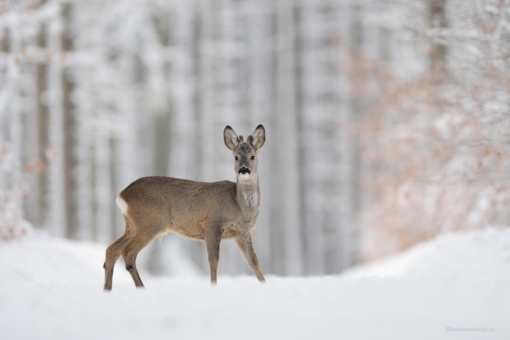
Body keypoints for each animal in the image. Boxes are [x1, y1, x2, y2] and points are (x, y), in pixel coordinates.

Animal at [101, 125, 264, 290]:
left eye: (252, 156)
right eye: (235, 157)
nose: (243, 170)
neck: (239, 205)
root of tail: (121, 195)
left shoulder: (243, 233)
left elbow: (254, 262)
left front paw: (265, 284)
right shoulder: (213, 223)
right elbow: (213, 260)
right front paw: (213, 287)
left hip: (133, 224)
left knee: (112, 249)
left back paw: (108, 289)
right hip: (149, 223)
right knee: (128, 252)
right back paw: (140, 288)